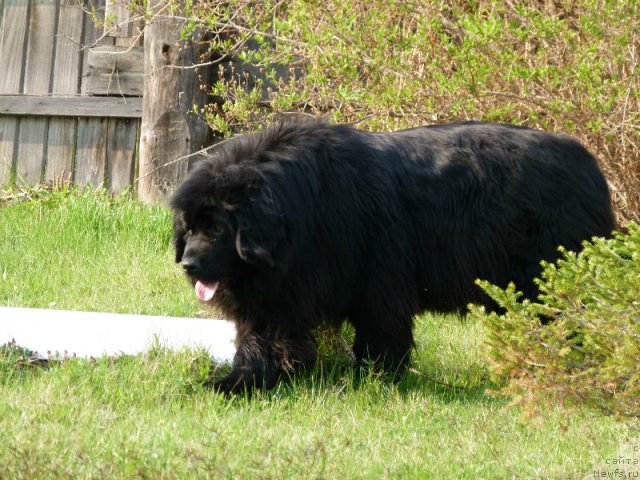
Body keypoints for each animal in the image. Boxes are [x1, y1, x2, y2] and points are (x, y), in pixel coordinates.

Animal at [169, 121, 616, 394]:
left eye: (218, 229)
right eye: (188, 229)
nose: (189, 265)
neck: (301, 214)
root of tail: (591, 165)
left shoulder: (377, 278)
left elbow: (380, 331)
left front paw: (372, 378)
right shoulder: (281, 289)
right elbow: (258, 338)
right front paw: (237, 382)